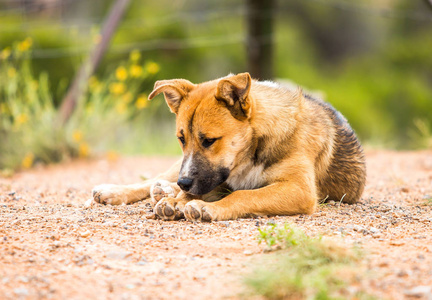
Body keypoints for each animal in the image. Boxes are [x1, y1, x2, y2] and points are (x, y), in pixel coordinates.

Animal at [93, 72, 366, 221]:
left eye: (209, 140)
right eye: (181, 139)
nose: (184, 183)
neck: (254, 147)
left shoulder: (299, 189)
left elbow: (243, 194)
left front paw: (200, 205)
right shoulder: (212, 176)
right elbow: (199, 191)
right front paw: (179, 200)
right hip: (177, 169)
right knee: (154, 179)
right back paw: (119, 191)